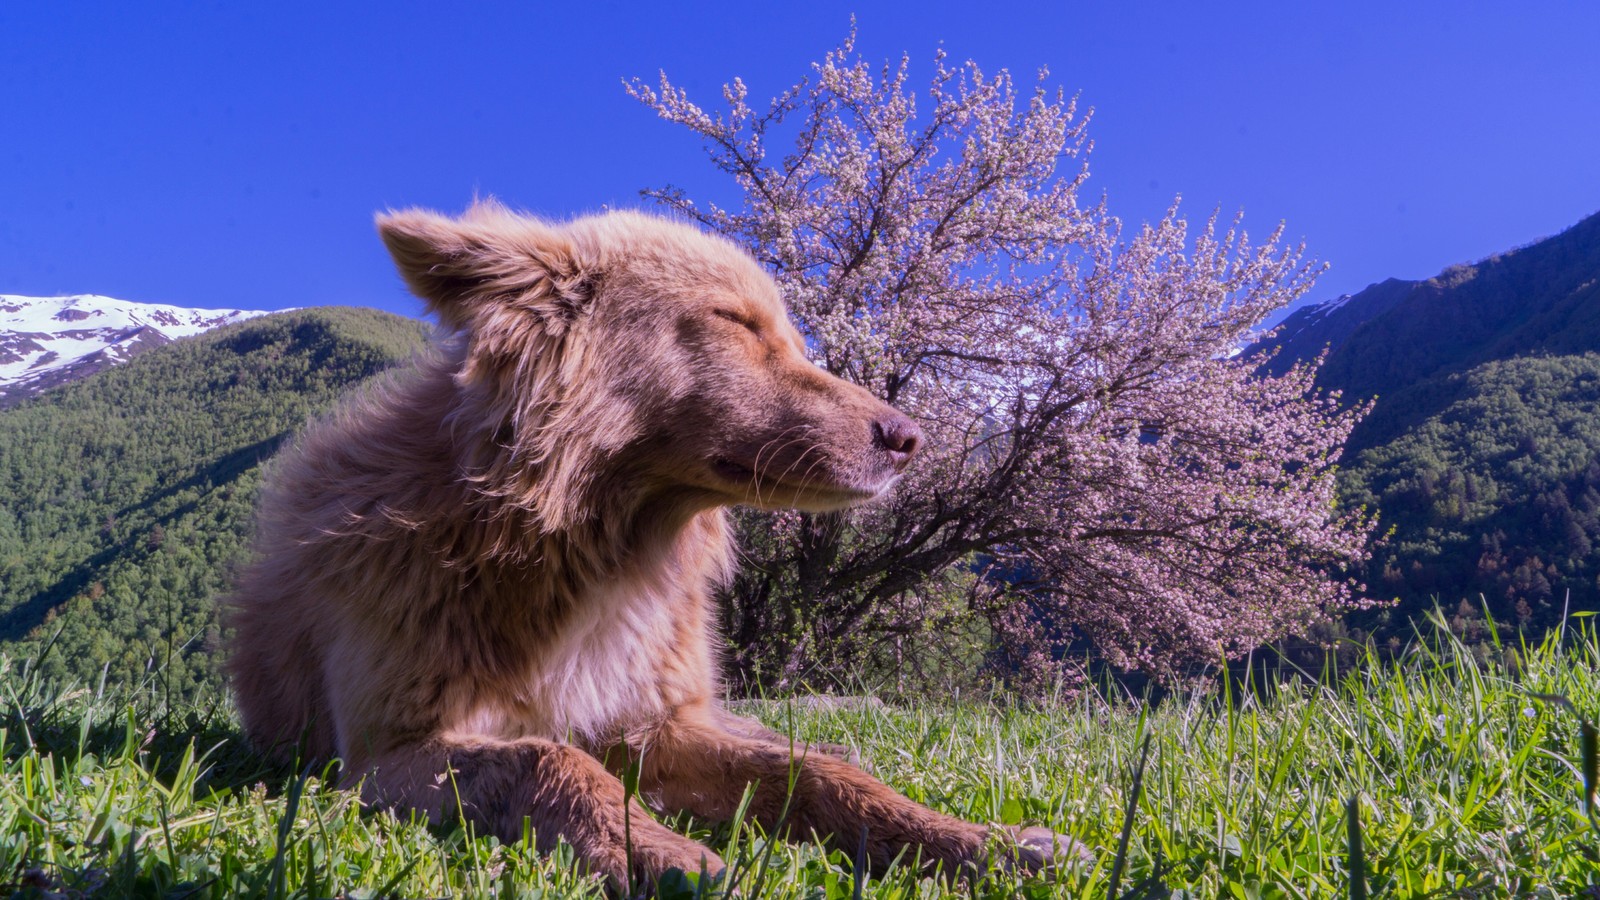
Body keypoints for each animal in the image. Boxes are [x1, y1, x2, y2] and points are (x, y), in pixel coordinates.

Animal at [222, 201, 1075, 883]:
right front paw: (649, 848)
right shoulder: (380, 758)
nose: (909, 439)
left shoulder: (654, 727)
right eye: (736, 323)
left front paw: (980, 842)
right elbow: (549, 755)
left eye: (793, 338)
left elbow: (815, 774)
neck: (581, 553)